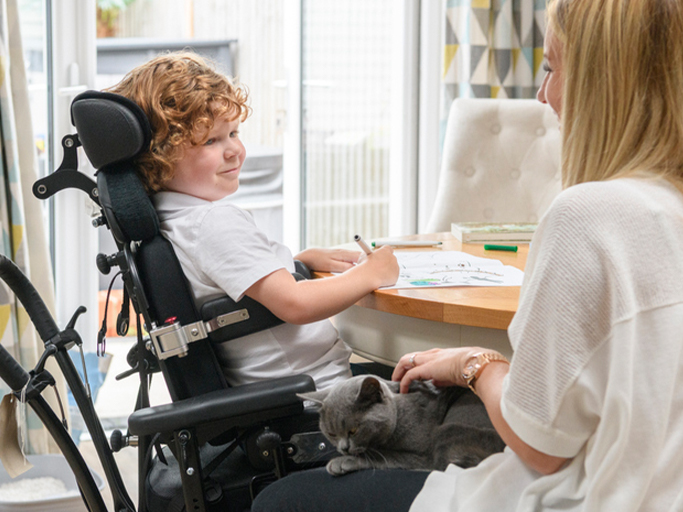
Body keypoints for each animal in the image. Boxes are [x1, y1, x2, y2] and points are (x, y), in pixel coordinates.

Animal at [300, 372, 508, 476]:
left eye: (353, 430)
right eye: (331, 434)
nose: (343, 449)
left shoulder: (422, 454)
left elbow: (385, 456)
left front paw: (341, 462)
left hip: (449, 429)